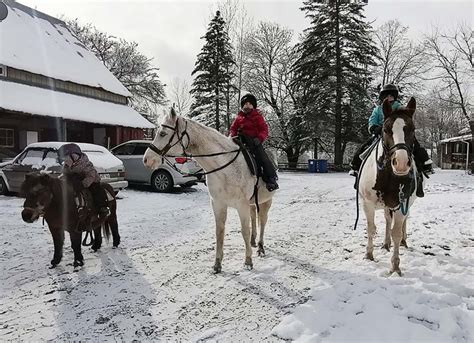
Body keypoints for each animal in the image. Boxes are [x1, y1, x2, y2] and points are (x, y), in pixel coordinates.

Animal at [143, 107, 276, 274]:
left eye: (162, 133)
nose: (146, 159)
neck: (226, 167)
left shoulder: (242, 205)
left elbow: (244, 230)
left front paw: (248, 261)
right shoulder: (218, 204)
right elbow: (219, 232)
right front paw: (217, 264)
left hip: (266, 201)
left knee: (262, 221)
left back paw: (260, 247)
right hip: (252, 203)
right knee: (254, 218)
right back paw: (253, 242)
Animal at [358, 97, 420, 276]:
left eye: (412, 129)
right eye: (385, 129)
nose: (401, 163)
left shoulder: (402, 203)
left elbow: (396, 233)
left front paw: (395, 267)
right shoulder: (367, 204)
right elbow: (371, 228)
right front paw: (369, 255)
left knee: (403, 221)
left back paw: (404, 242)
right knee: (387, 220)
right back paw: (385, 244)